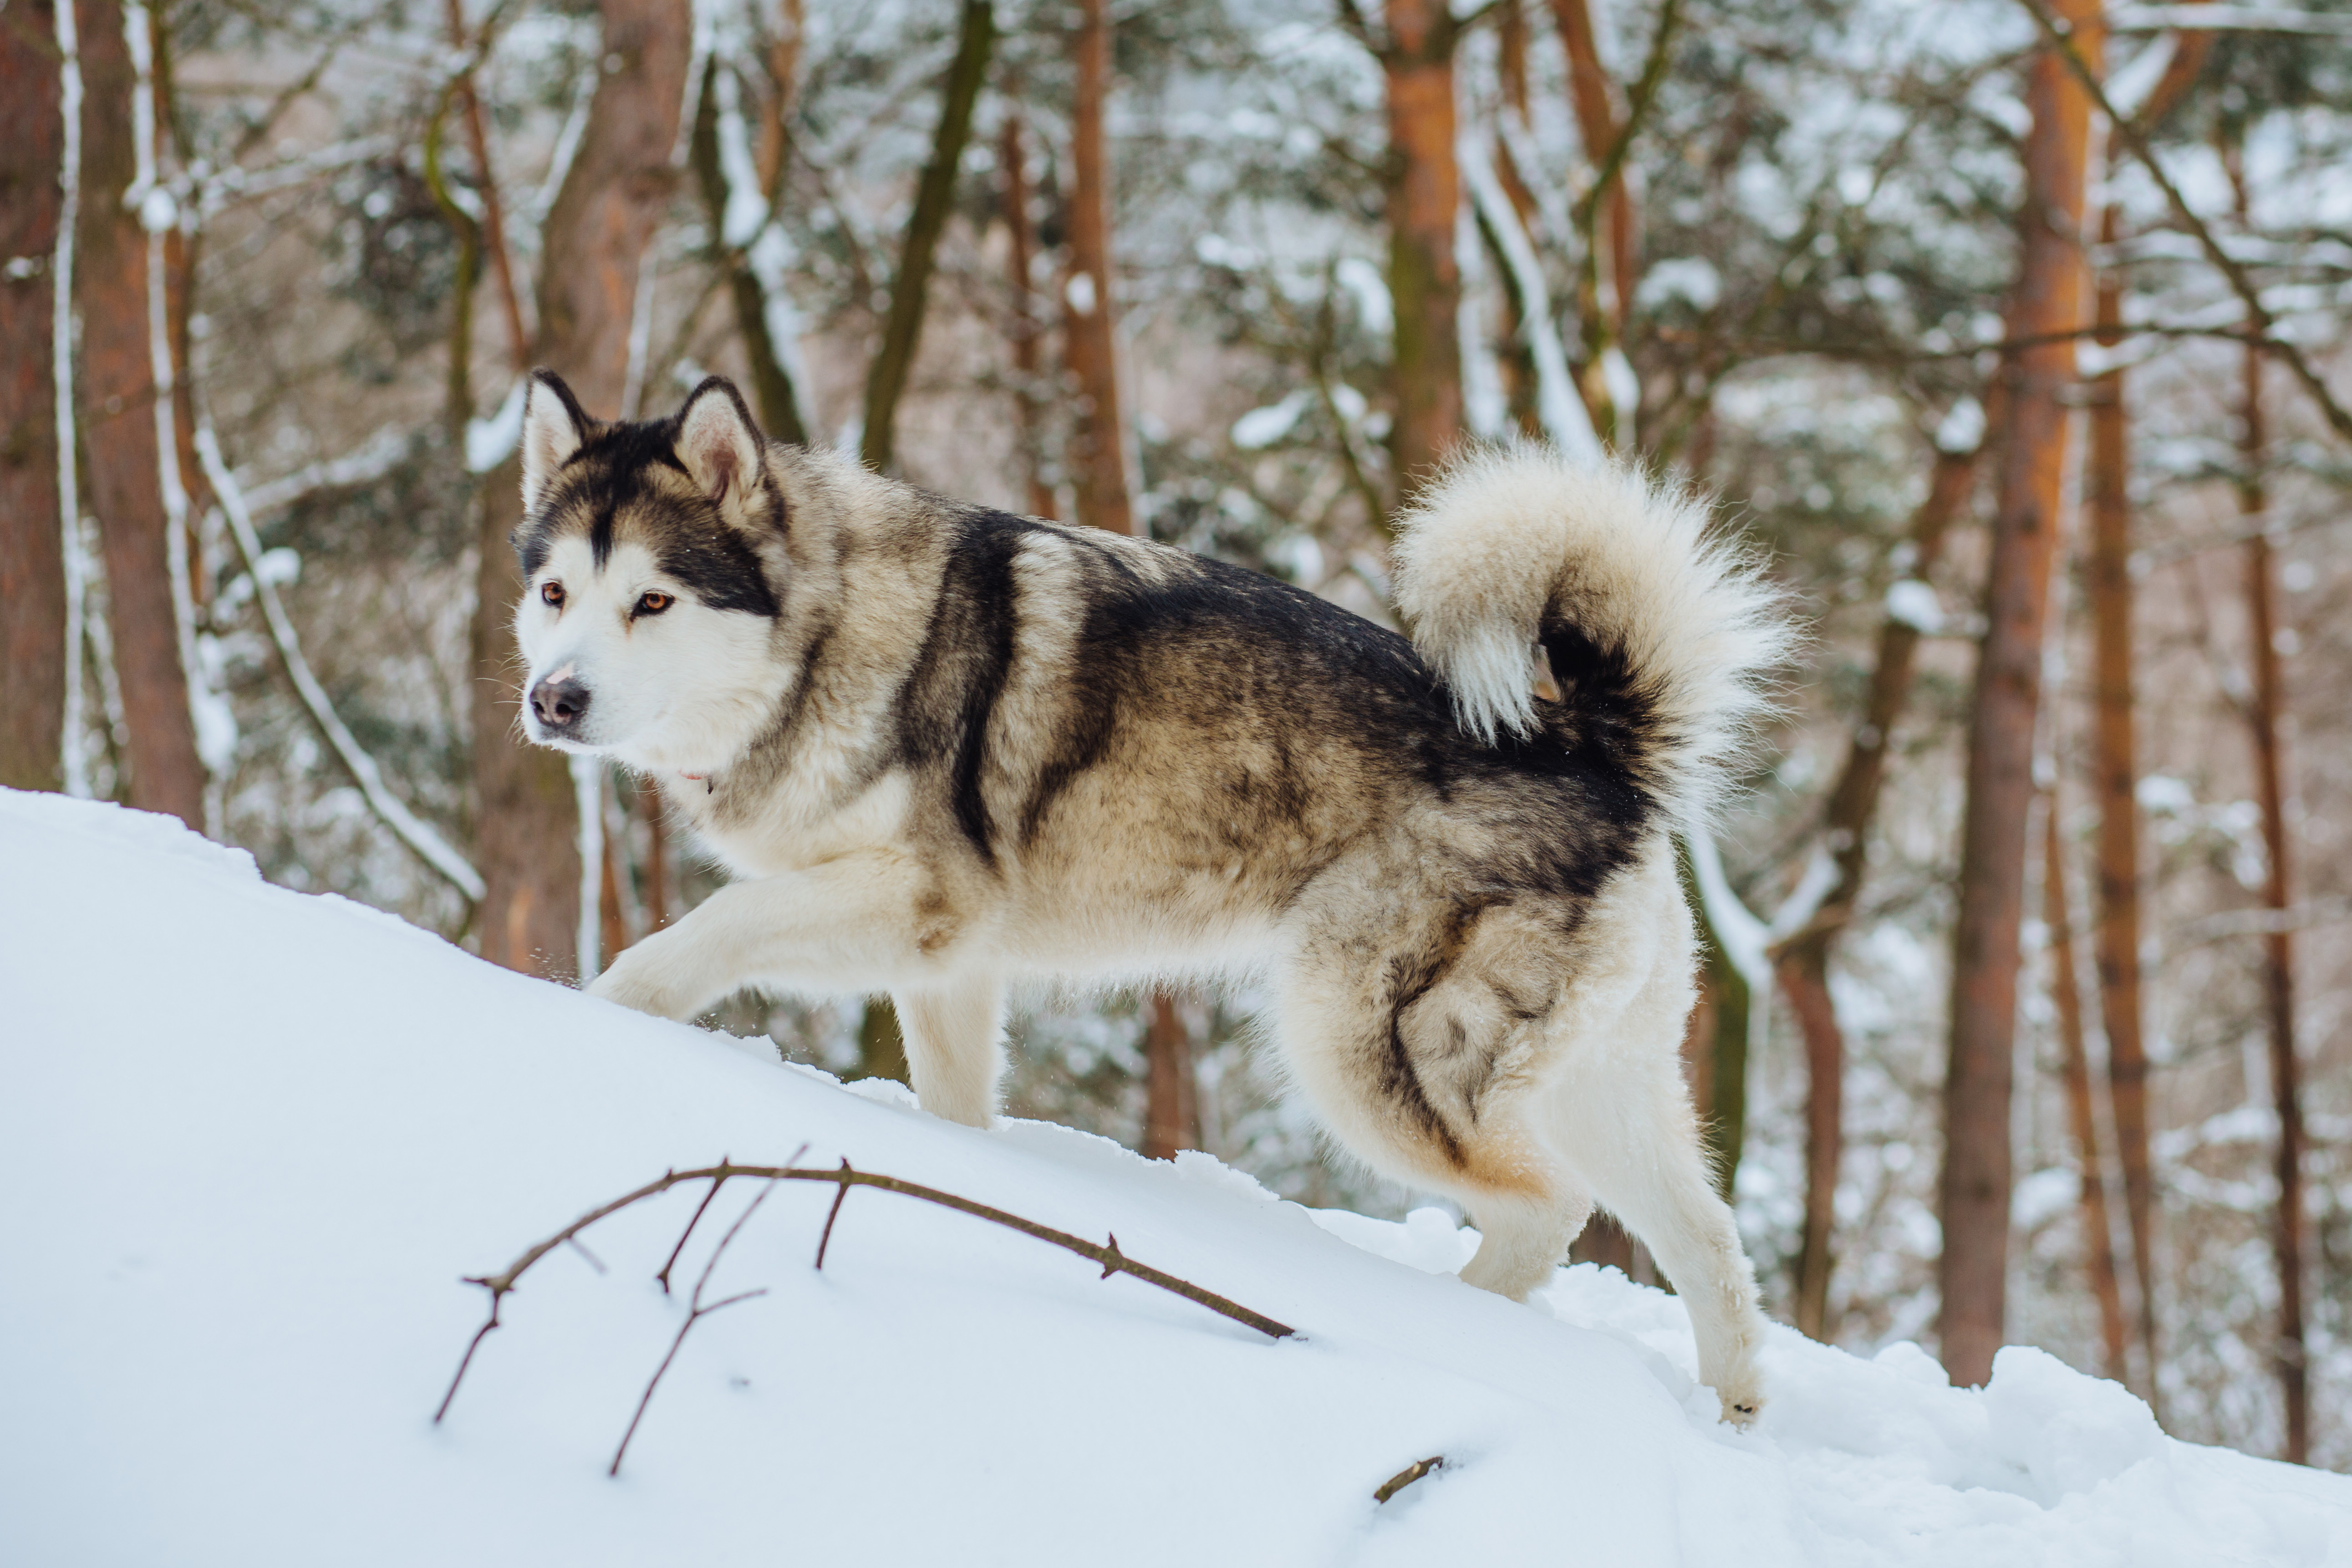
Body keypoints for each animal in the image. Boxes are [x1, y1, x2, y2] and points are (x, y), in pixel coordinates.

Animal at [519, 371, 1778, 1420]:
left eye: (652, 602)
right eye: (554, 593)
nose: (552, 700)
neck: (830, 640)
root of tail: (1593, 753)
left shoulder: (917, 901)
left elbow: (704, 932)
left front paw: (598, 1019)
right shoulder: (950, 967)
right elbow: (955, 1112)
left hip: (1354, 1049)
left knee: (1544, 1209)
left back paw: (1439, 1336)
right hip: (1604, 1088)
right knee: (1712, 1250)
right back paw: (1729, 1415)